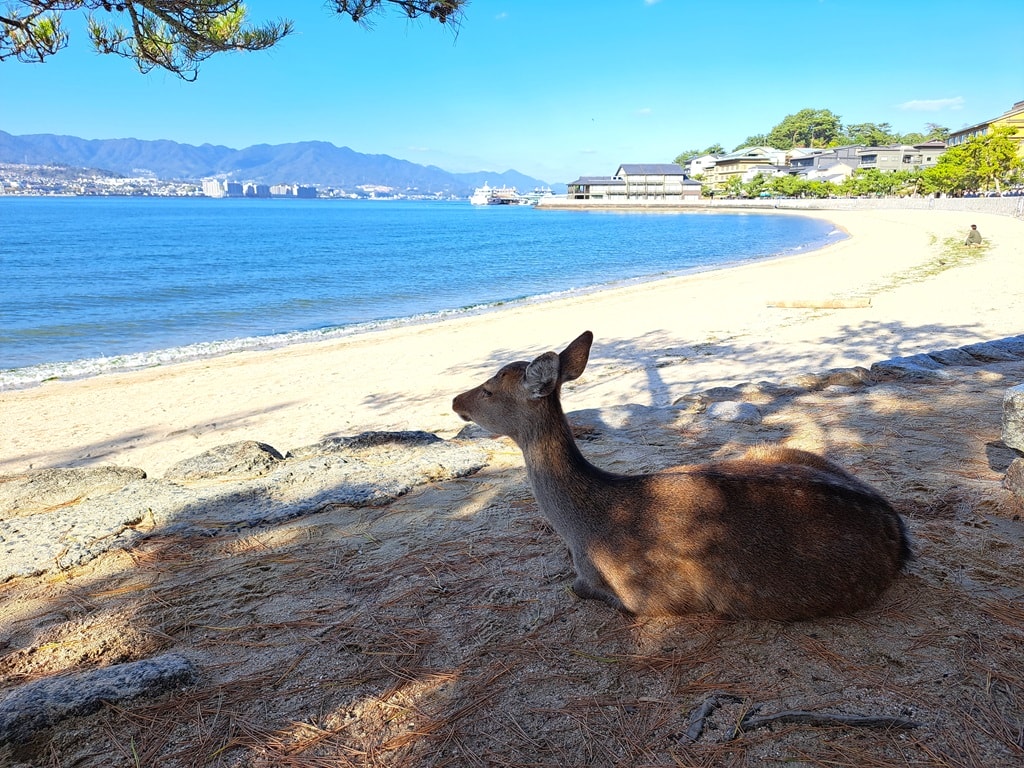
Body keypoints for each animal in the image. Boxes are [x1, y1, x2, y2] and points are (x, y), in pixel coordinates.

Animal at [452, 331, 909, 618]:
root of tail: (900, 535)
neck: (583, 528)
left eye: (489, 389)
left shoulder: (647, 597)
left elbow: (578, 587)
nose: (456, 400)